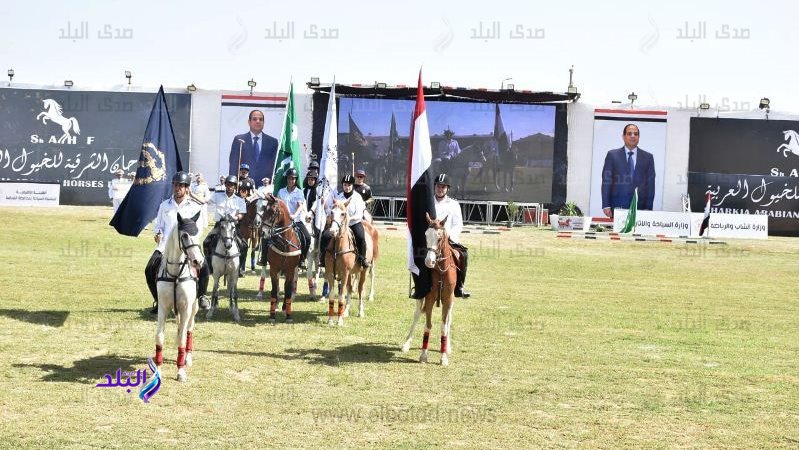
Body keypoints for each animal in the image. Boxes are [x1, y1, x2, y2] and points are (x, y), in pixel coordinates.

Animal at [153, 213, 203, 382]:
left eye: (199, 233)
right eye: (185, 235)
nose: (198, 262)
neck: (175, 275)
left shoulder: (186, 308)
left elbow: (182, 338)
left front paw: (180, 371)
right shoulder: (163, 308)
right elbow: (159, 337)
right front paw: (158, 369)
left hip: (194, 308)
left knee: (188, 330)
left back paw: (187, 358)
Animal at [258, 193, 302, 324]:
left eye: (273, 212)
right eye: (264, 210)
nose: (262, 232)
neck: (284, 244)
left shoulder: (290, 270)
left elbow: (287, 290)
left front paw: (288, 315)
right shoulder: (274, 269)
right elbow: (274, 290)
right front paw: (272, 315)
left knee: (289, 287)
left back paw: (284, 307)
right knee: (277, 287)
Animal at [404, 214, 460, 366]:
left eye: (440, 238)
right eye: (426, 236)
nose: (429, 262)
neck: (441, 270)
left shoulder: (448, 299)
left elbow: (444, 326)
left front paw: (444, 356)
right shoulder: (429, 298)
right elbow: (428, 325)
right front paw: (423, 355)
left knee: (449, 319)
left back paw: (449, 346)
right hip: (420, 297)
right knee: (417, 314)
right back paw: (406, 344)